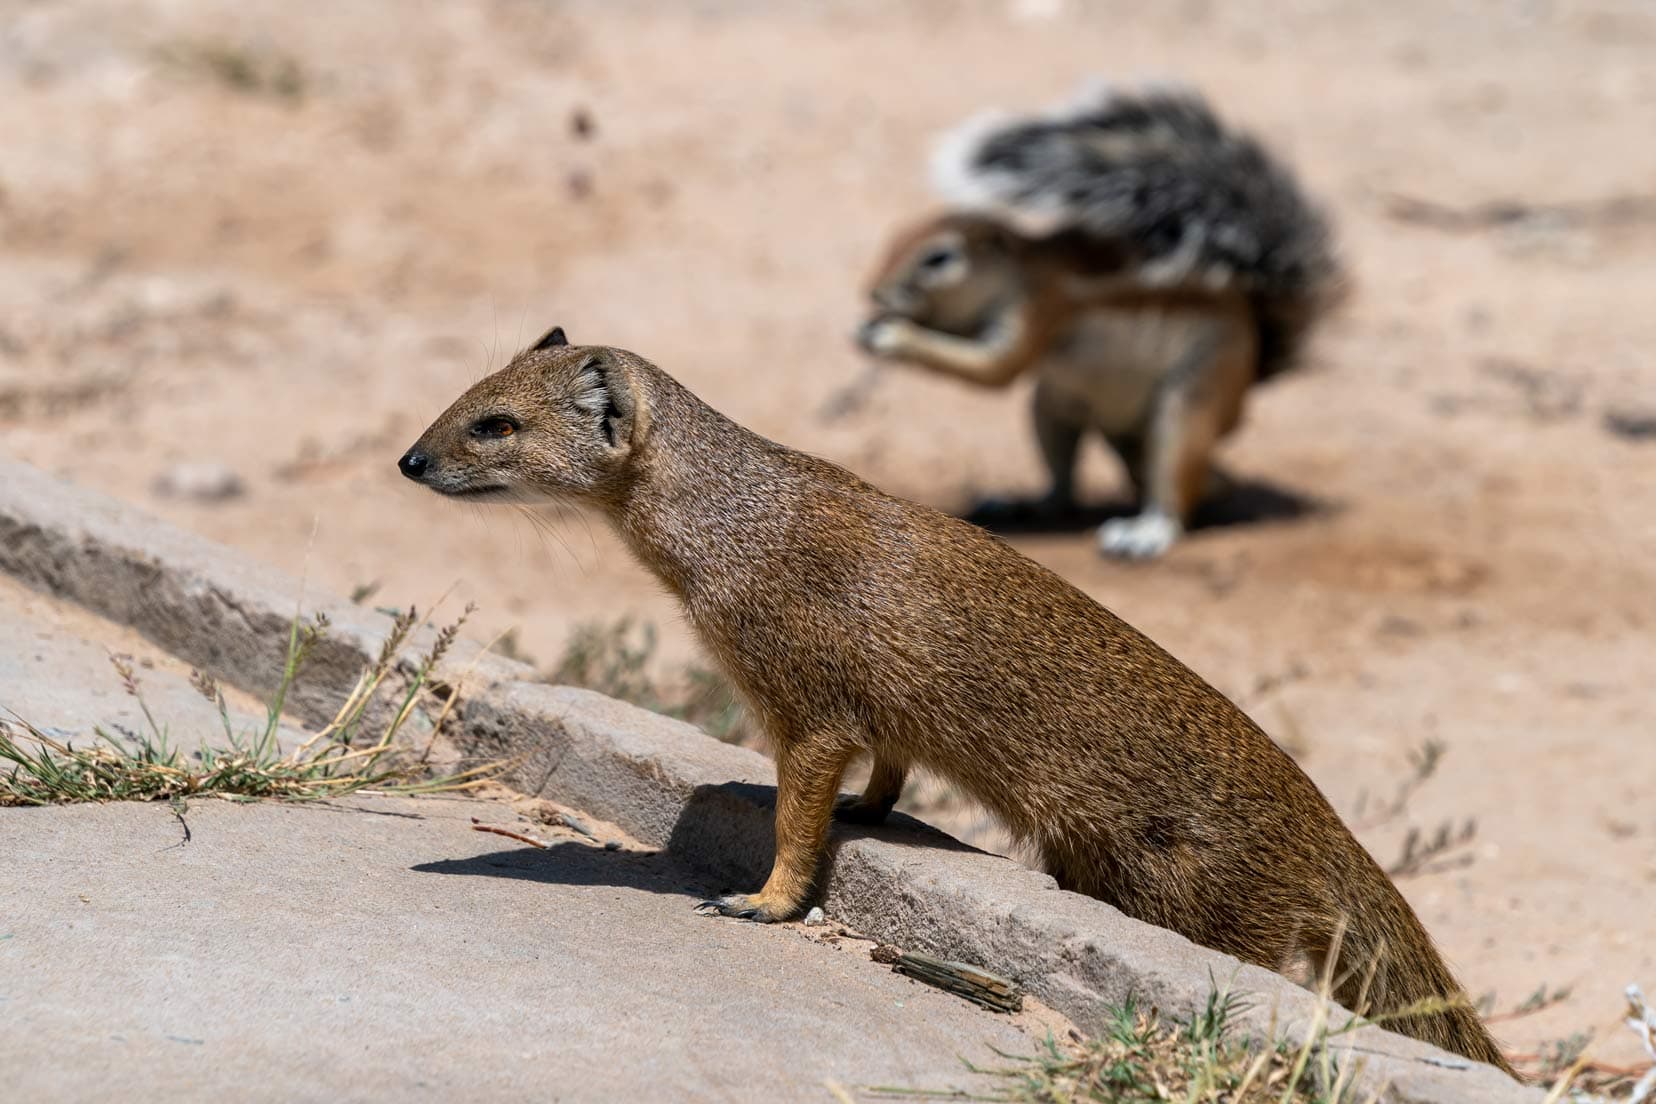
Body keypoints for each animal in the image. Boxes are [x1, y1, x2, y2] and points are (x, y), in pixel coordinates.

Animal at [400, 331, 1516, 1079]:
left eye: (496, 425)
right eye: (464, 398)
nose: (410, 460)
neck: (728, 526)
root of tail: (1321, 824)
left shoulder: (802, 681)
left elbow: (801, 803)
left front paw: (765, 899)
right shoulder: (871, 701)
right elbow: (881, 767)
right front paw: (868, 812)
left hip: (1195, 892)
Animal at [854, 84, 1344, 562]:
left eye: (938, 258)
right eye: (895, 236)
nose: (874, 293)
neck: (1020, 270)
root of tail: (1253, 371)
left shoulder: (1038, 306)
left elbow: (995, 369)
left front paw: (893, 335)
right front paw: (872, 325)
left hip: (1191, 399)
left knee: (1176, 490)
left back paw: (1146, 533)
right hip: (1054, 408)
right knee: (1068, 487)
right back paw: (1026, 504)